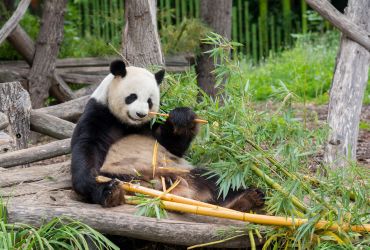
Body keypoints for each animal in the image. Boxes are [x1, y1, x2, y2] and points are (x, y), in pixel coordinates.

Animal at [71, 60, 264, 211]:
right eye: (132, 97)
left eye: (150, 101)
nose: (140, 114)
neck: (129, 124)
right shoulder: (99, 114)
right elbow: (87, 147)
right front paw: (93, 181)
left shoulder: (153, 124)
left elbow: (173, 145)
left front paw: (182, 118)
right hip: (127, 175)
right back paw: (111, 192)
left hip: (183, 170)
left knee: (217, 180)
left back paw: (247, 199)